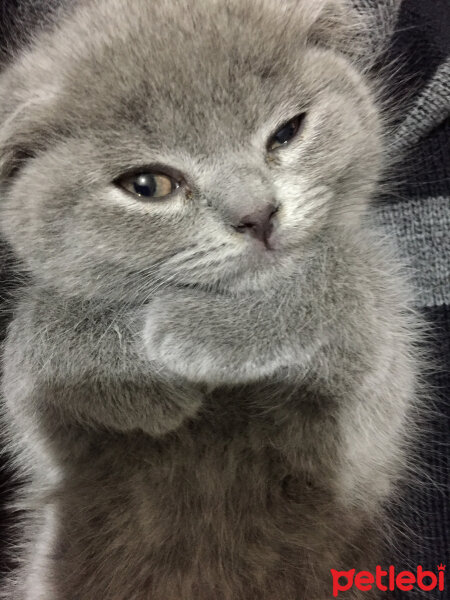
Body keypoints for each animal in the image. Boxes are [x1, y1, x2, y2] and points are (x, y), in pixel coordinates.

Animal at [0, 1, 422, 600]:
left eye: (287, 132)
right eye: (148, 185)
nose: (258, 215)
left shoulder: (377, 397)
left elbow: (344, 274)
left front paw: (187, 330)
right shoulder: (30, 424)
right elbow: (38, 324)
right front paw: (143, 384)